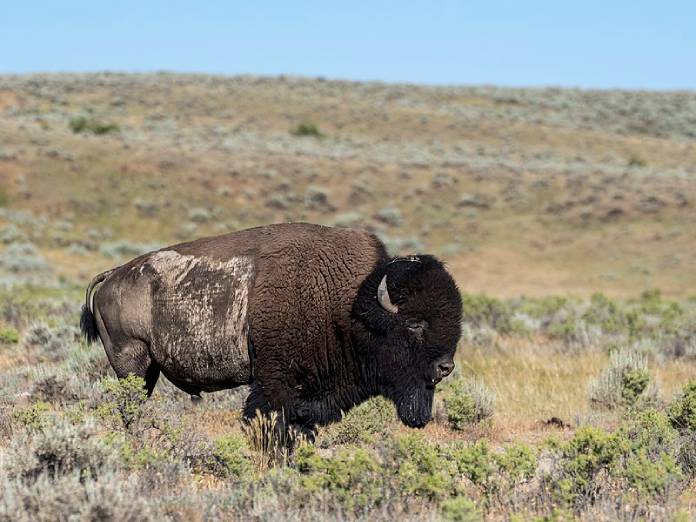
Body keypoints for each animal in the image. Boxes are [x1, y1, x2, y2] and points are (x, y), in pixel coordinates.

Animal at [80, 221, 462, 428]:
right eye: (414, 324)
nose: (446, 367)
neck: (351, 303)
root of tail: (113, 275)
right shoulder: (274, 385)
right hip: (132, 363)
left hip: (148, 369)